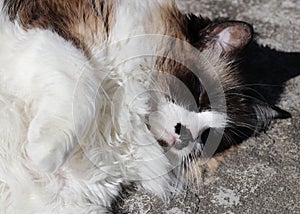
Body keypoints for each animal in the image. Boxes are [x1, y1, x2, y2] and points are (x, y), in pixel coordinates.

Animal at [0, 0, 290, 212]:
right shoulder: (46, 28)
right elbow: (82, 81)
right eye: (198, 94)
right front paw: (43, 152)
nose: (187, 135)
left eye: (207, 135)